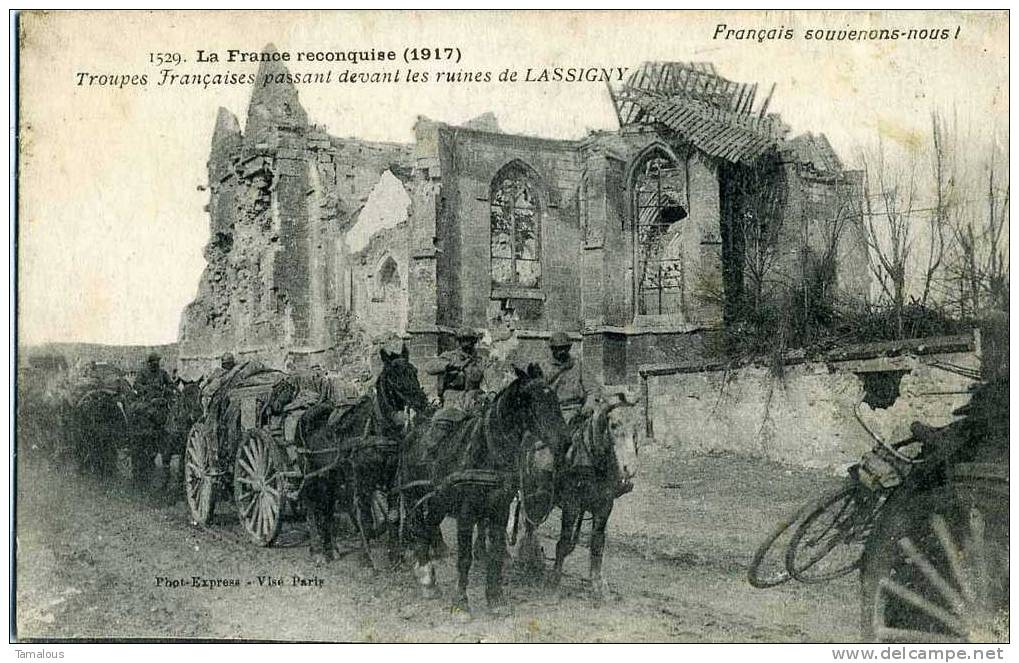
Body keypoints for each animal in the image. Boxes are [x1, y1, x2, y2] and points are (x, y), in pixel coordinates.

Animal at [295, 344, 430, 566]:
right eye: (393, 375)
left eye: (414, 370)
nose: (421, 401)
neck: (378, 429)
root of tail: (306, 415)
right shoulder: (364, 481)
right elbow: (366, 520)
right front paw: (369, 560)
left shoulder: (392, 479)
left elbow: (393, 516)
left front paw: (395, 556)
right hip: (313, 476)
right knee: (313, 508)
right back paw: (319, 551)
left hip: (332, 478)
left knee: (328, 509)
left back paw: (332, 548)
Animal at [401, 366, 570, 615]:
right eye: (532, 401)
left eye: (555, 399)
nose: (565, 441)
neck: (487, 451)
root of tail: (413, 432)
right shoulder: (466, 514)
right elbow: (464, 559)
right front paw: (461, 602)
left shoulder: (499, 511)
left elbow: (496, 554)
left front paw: (495, 598)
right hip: (416, 498)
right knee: (419, 528)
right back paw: (424, 575)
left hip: (437, 501)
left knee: (428, 527)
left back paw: (429, 579)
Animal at [521, 397, 639, 598]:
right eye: (614, 425)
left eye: (636, 427)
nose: (629, 469)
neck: (593, 460)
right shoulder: (572, 505)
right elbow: (563, 542)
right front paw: (554, 580)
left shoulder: (605, 506)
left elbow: (597, 544)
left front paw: (598, 585)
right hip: (532, 493)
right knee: (529, 525)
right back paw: (528, 560)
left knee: (531, 525)